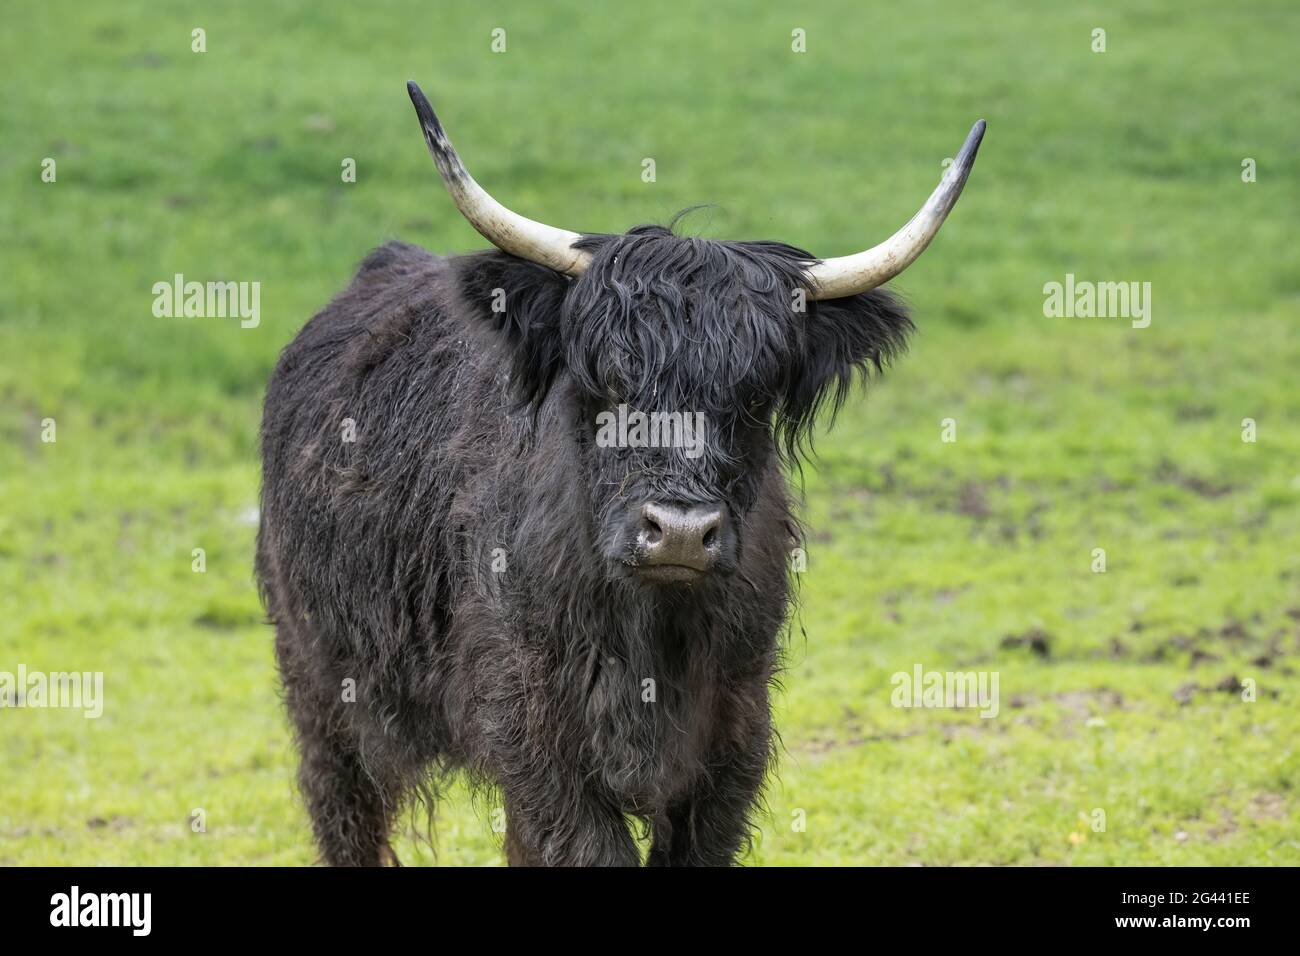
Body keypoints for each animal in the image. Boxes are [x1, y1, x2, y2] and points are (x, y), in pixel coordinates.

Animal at [255, 81, 983, 866]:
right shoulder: (533, 730)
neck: (652, 632)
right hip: (320, 687)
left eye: (756, 394)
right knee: (343, 811)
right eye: (607, 382)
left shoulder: (734, 735)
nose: (680, 533)